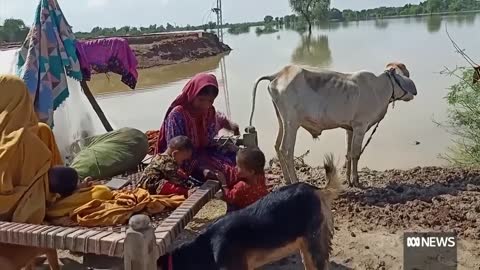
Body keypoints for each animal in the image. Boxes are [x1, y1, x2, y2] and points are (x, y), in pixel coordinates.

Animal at [249, 62, 418, 187]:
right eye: (404, 75)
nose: (414, 92)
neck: (380, 88)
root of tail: (278, 74)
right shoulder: (360, 126)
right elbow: (356, 154)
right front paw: (357, 181)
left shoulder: (350, 129)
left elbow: (348, 153)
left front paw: (349, 180)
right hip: (292, 123)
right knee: (286, 150)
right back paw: (295, 181)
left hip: (282, 121)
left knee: (277, 146)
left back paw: (287, 180)